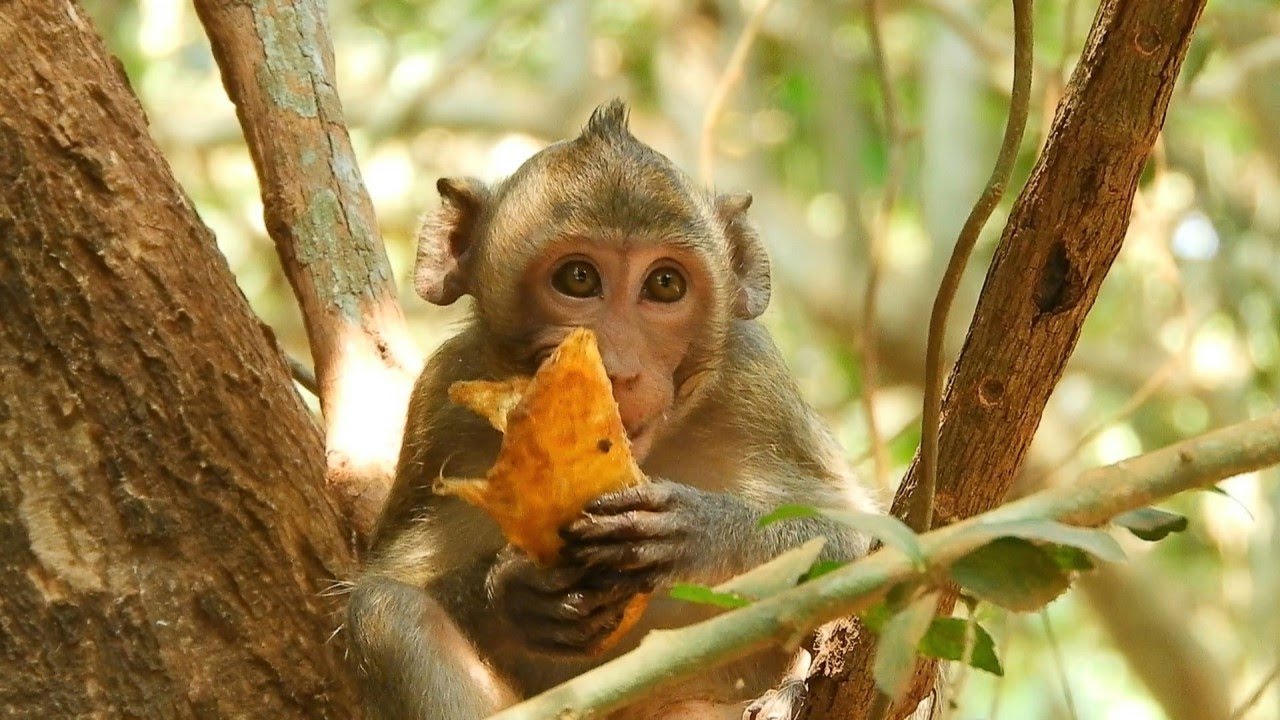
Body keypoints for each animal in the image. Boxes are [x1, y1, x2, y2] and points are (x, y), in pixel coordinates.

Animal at [345, 100, 884, 720]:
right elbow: (390, 583)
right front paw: (513, 592)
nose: (619, 366)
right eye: (578, 278)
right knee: (388, 614)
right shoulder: (441, 404)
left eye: (665, 284)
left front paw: (705, 533)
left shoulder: (759, 389)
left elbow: (870, 544)